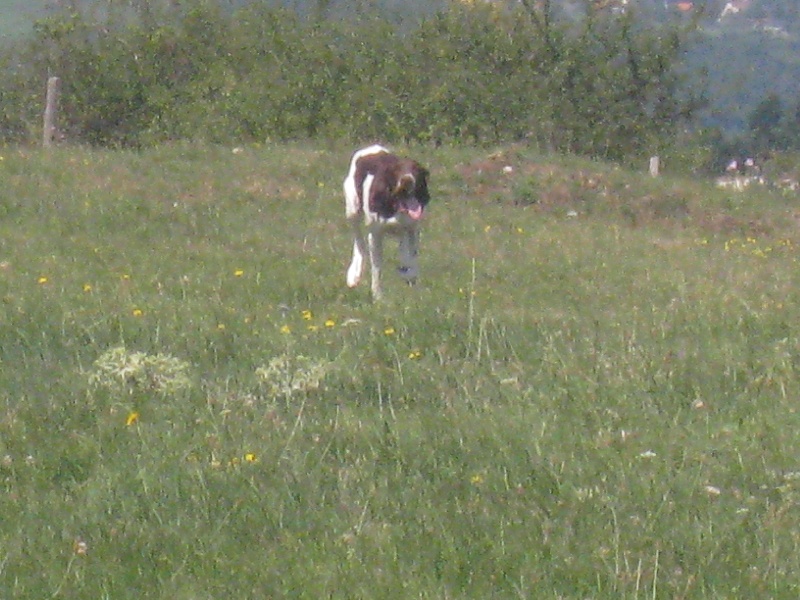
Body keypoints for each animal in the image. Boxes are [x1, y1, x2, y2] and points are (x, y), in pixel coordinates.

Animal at [344, 145, 432, 302]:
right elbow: (376, 267)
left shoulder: (411, 229)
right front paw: (377, 296)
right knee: (359, 240)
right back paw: (354, 274)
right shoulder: (375, 235)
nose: (407, 180)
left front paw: (407, 273)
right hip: (352, 209)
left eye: (416, 170)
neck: (395, 206)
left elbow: (411, 258)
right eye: (397, 170)